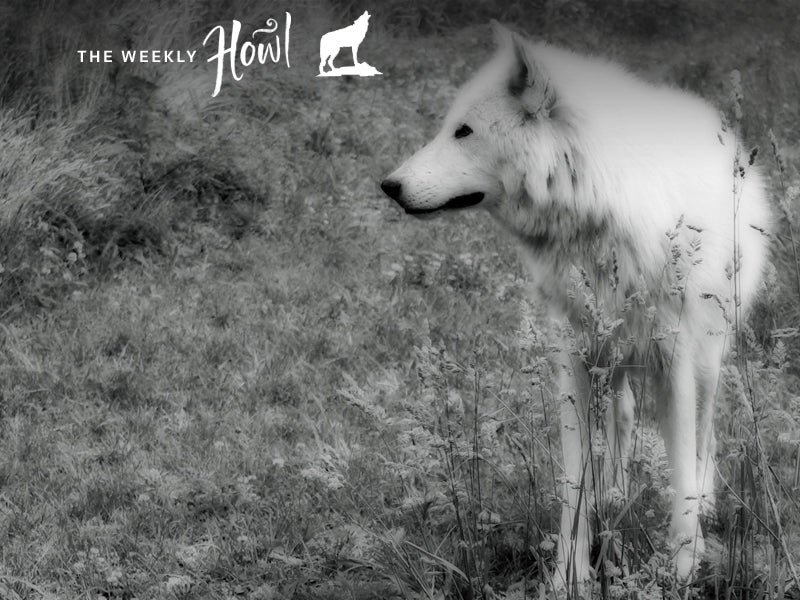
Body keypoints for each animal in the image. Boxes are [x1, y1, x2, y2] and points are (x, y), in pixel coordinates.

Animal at [384, 24, 772, 592]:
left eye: (464, 131)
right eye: (449, 128)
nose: (388, 186)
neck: (603, 202)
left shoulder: (675, 358)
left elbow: (681, 463)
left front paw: (682, 565)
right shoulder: (573, 360)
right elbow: (574, 481)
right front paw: (569, 575)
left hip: (708, 356)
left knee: (705, 434)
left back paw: (702, 502)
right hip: (612, 355)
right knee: (624, 416)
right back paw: (615, 494)